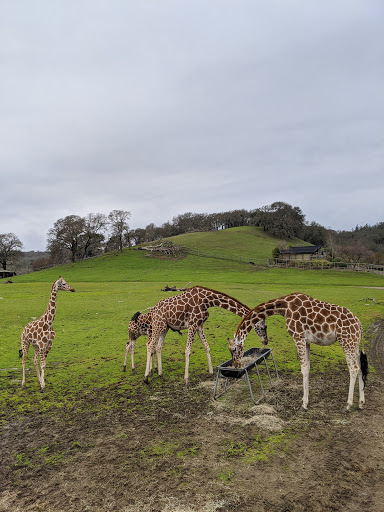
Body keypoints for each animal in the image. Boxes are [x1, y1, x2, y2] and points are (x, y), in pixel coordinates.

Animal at [228, 292, 368, 412]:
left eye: (234, 349)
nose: (236, 365)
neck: (284, 307)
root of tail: (359, 324)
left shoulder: (298, 337)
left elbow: (304, 368)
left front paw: (304, 404)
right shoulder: (306, 341)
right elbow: (308, 367)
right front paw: (304, 399)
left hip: (346, 341)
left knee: (354, 368)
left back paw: (348, 405)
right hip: (354, 344)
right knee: (360, 367)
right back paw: (361, 403)